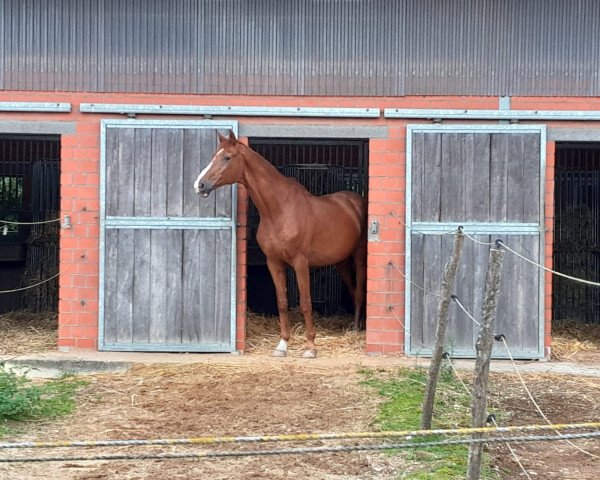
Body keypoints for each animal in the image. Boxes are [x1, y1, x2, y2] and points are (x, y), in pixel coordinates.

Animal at [197, 130, 366, 356]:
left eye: (226, 157)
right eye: (214, 156)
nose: (200, 185)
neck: (279, 211)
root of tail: (355, 200)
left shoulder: (301, 263)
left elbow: (305, 302)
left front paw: (310, 347)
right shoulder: (274, 262)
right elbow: (282, 302)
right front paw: (282, 345)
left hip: (359, 257)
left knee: (360, 291)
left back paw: (356, 329)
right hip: (341, 262)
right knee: (352, 288)